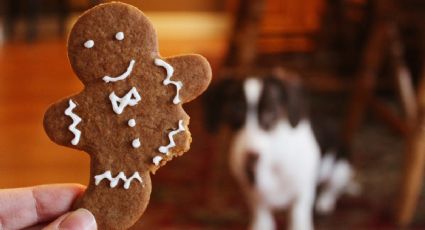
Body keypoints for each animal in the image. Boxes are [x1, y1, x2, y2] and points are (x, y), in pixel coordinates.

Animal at [202, 70, 358, 230]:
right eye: (235, 110)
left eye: (271, 112)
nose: (251, 157)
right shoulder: (252, 192)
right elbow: (261, 213)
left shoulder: (302, 194)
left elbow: (298, 218)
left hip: (340, 170)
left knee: (331, 188)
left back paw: (324, 202)